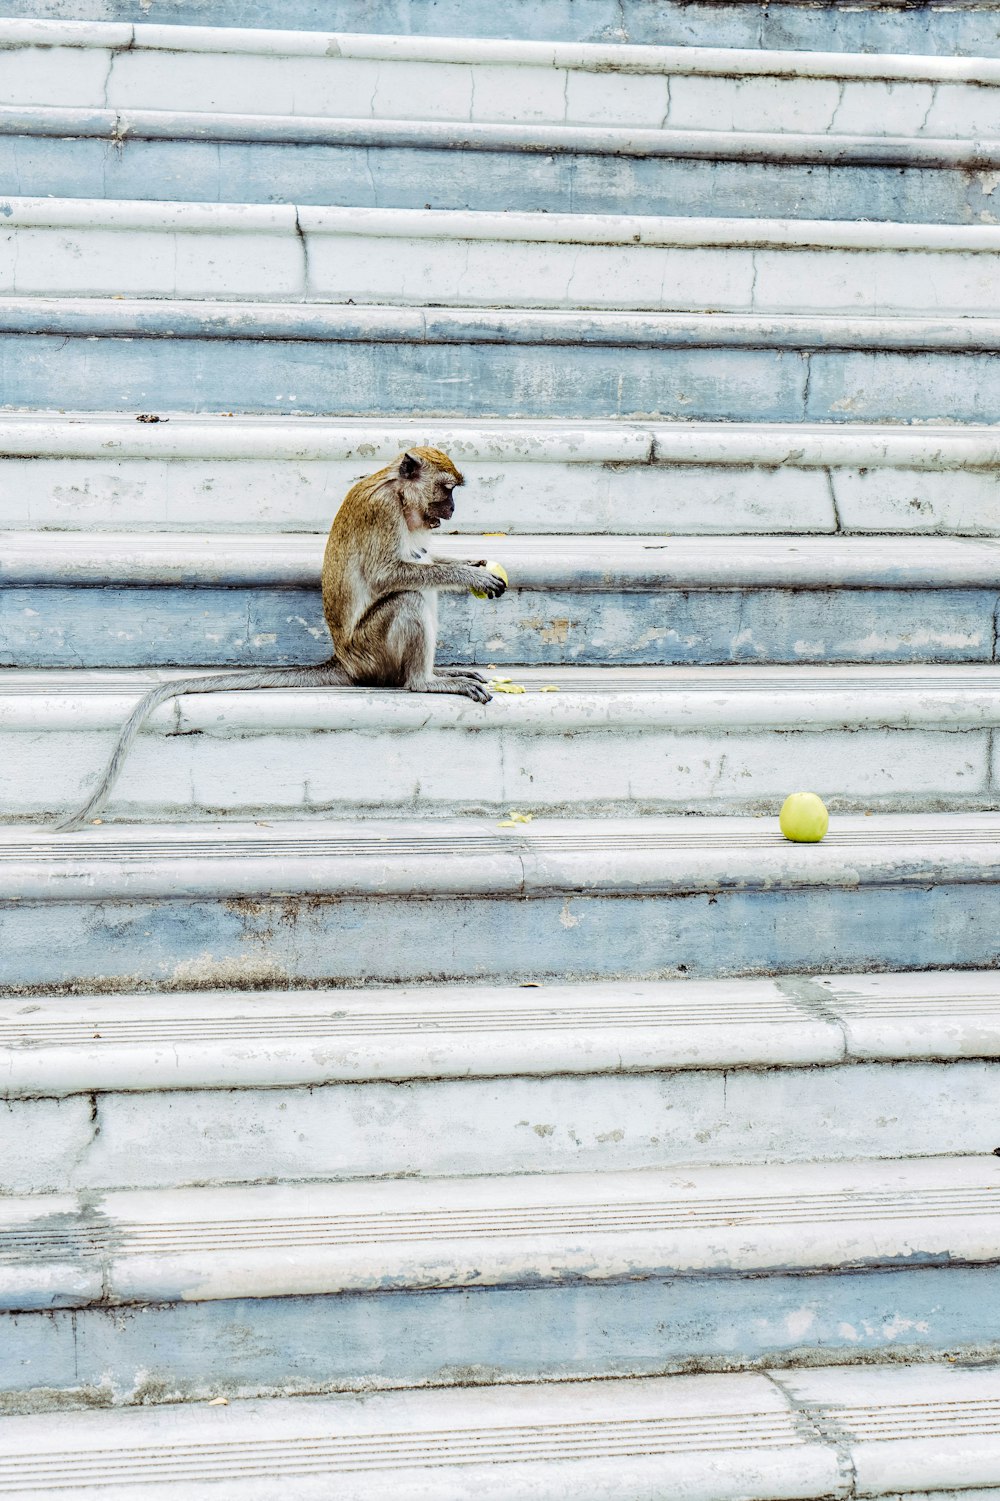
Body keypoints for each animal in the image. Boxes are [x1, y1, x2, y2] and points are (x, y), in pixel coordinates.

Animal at [52, 450, 507, 840]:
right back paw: (424, 681)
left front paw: (472, 563)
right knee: (410, 596)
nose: (452, 510)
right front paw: (471, 575)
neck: (397, 491)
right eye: (447, 490)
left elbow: (424, 559)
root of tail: (345, 661)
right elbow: (389, 575)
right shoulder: (382, 513)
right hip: (374, 648)